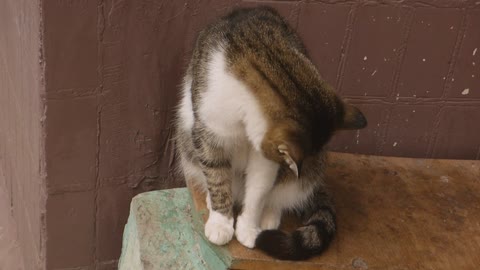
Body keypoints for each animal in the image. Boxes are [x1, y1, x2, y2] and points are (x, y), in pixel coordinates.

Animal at [174, 5, 366, 260]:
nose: (295, 168)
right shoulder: (209, 132)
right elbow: (217, 177)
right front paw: (221, 222)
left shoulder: (265, 157)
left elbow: (259, 189)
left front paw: (248, 228)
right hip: (186, 140)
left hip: (312, 170)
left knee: (282, 195)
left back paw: (270, 216)